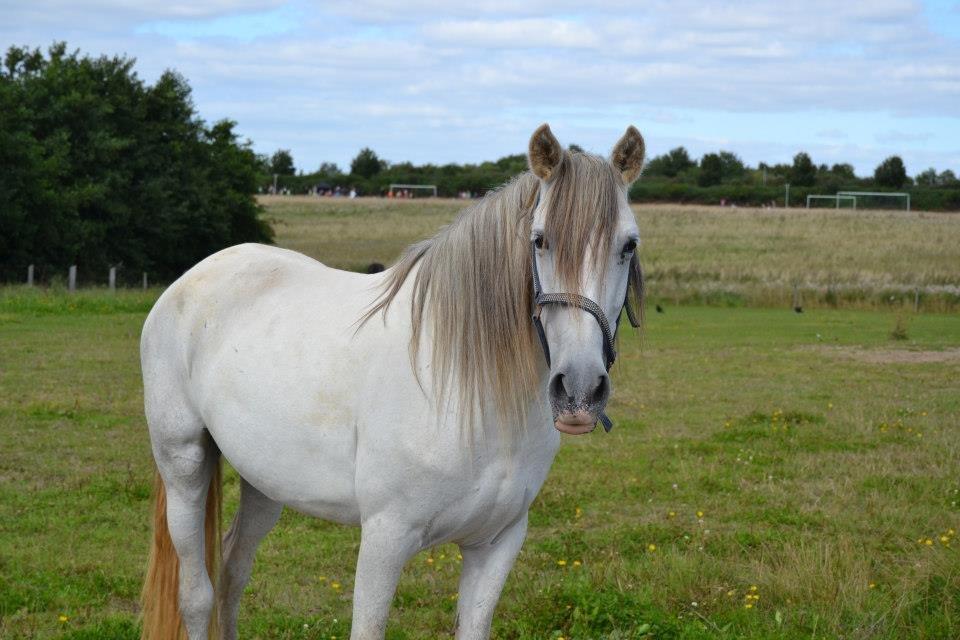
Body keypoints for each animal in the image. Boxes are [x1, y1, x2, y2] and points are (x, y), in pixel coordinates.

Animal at [141, 122, 644, 636]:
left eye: (629, 245)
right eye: (539, 240)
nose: (579, 389)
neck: (464, 389)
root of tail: (192, 277)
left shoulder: (496, 544)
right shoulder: (385, 539)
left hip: (264, 480)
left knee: (232, 570)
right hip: (184, 463)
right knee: (197, 595)